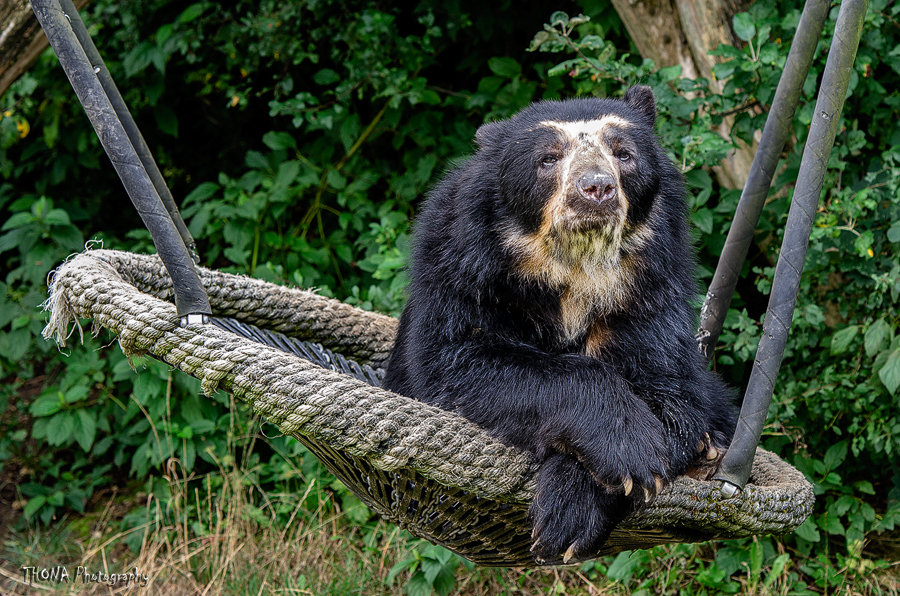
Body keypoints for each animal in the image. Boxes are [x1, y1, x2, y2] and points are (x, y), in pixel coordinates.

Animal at [382, 86, 740, 564]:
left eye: (623, 154)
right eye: (548, 159)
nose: (597, 188)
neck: (575, 271)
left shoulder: (648, 294)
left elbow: (671, 391)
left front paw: (569, 515)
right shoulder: (459, 271)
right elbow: (457, 361)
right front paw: (631, 449)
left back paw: (710, 449)